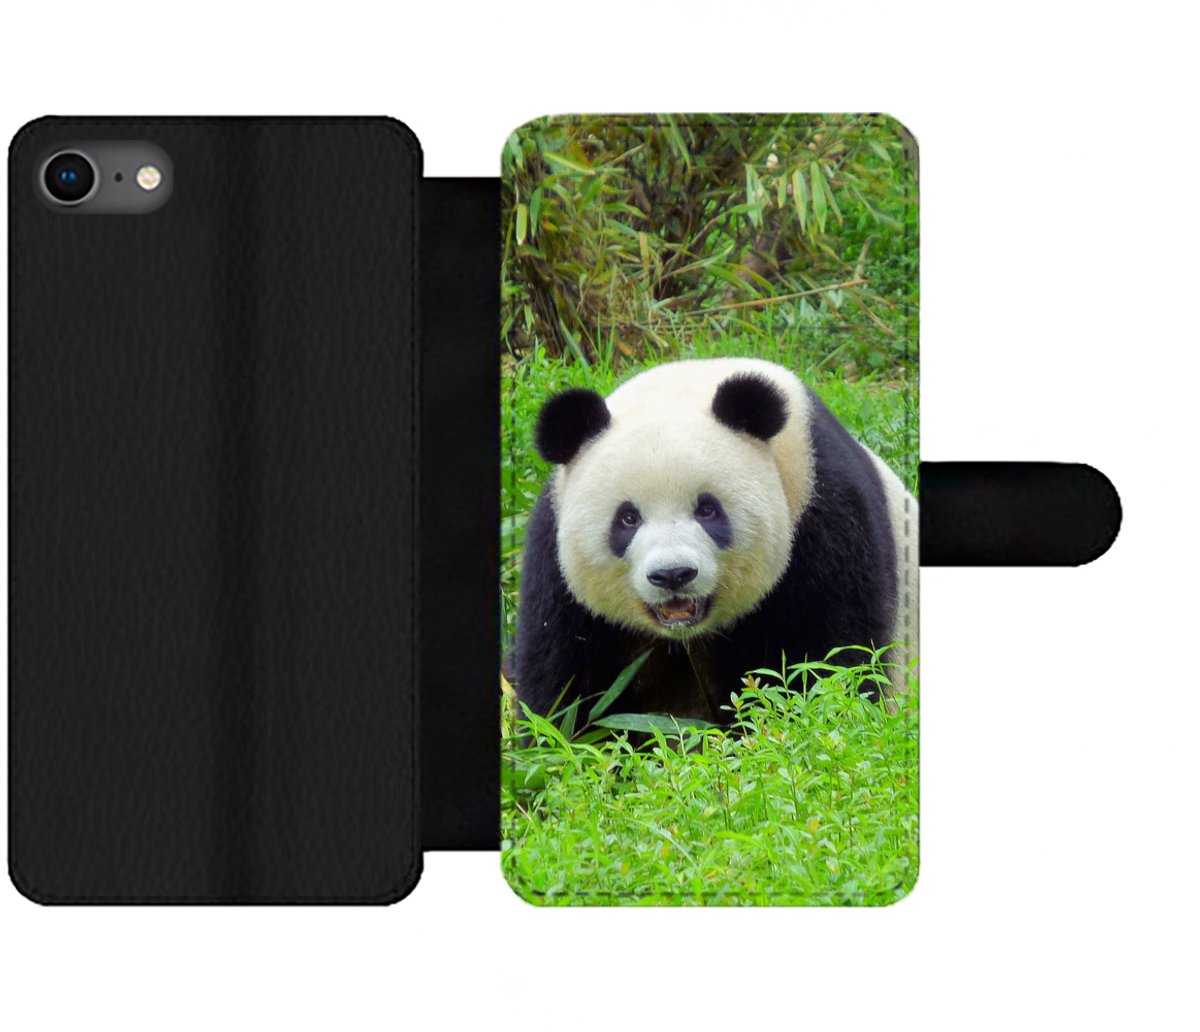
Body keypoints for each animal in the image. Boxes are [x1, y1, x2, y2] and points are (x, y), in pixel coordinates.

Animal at [509, 357, 917, 723]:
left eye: (707, 510)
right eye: (627, 518)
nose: (673, 575)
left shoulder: (824, 516)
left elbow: (831, 657)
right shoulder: (556, 561)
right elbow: (565, 680)